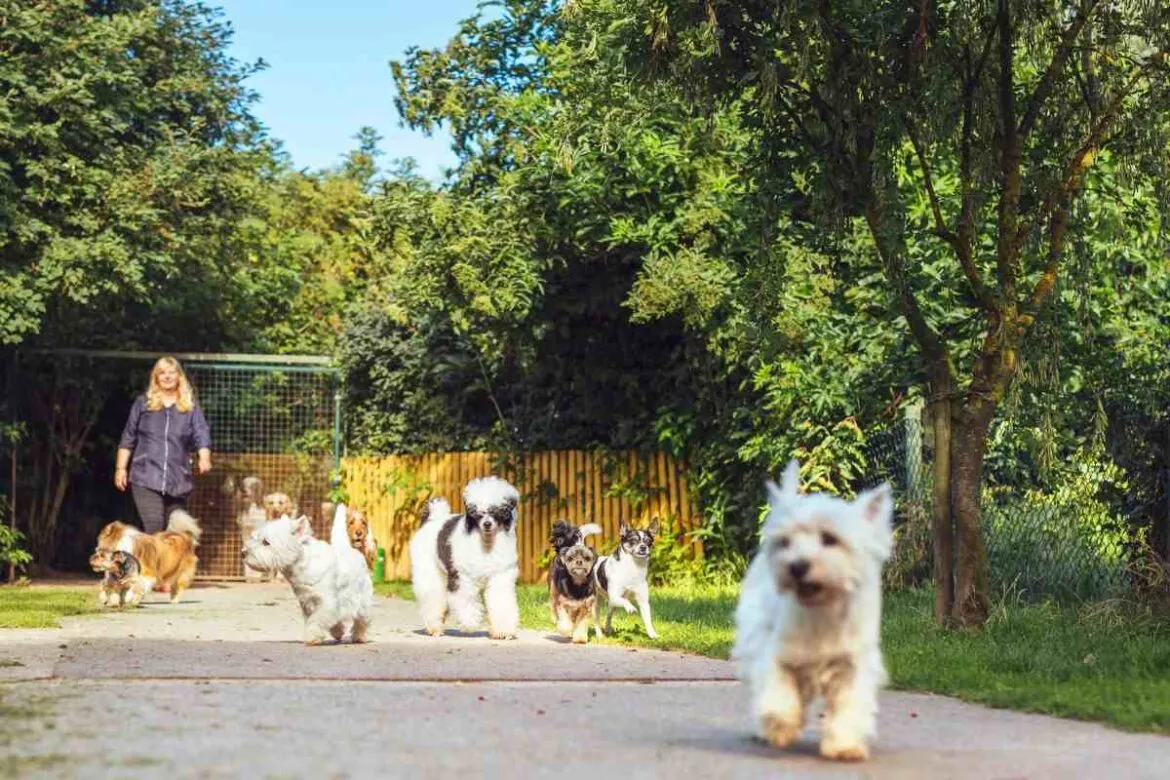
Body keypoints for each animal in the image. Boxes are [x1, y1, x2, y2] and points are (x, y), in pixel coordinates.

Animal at [243, 502, 374, 645]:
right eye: (254, 537)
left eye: (266, 542)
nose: (243, 552)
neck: (302, 565)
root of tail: (349, 548)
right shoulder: (306, 602)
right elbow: (314, 619)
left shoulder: (327, 601)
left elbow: (317, 620)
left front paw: (312, 636)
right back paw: (338, 632)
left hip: (362, 597)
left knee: (362, 619)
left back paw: (359, 636)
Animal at [411, 477, 521, 640]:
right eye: (476, 512)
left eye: (496, 510)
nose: (487, 524)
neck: (486, 544)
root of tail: (431, 519)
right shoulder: (463, 577)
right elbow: (466, 600)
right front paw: (471, 623)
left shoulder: (500, 576)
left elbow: (501, 602)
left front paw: (503, 631)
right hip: (429, 571)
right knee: (432, 598)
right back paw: (435, 628)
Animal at [734, 460, 889, 757]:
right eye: (785, 542)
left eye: (830, 539)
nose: (797, 565)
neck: (821, 610)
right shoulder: (777, 653)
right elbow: (778, 692)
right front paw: (782, 726)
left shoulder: (853, 665)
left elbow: (850, 706)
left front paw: (845, 746)